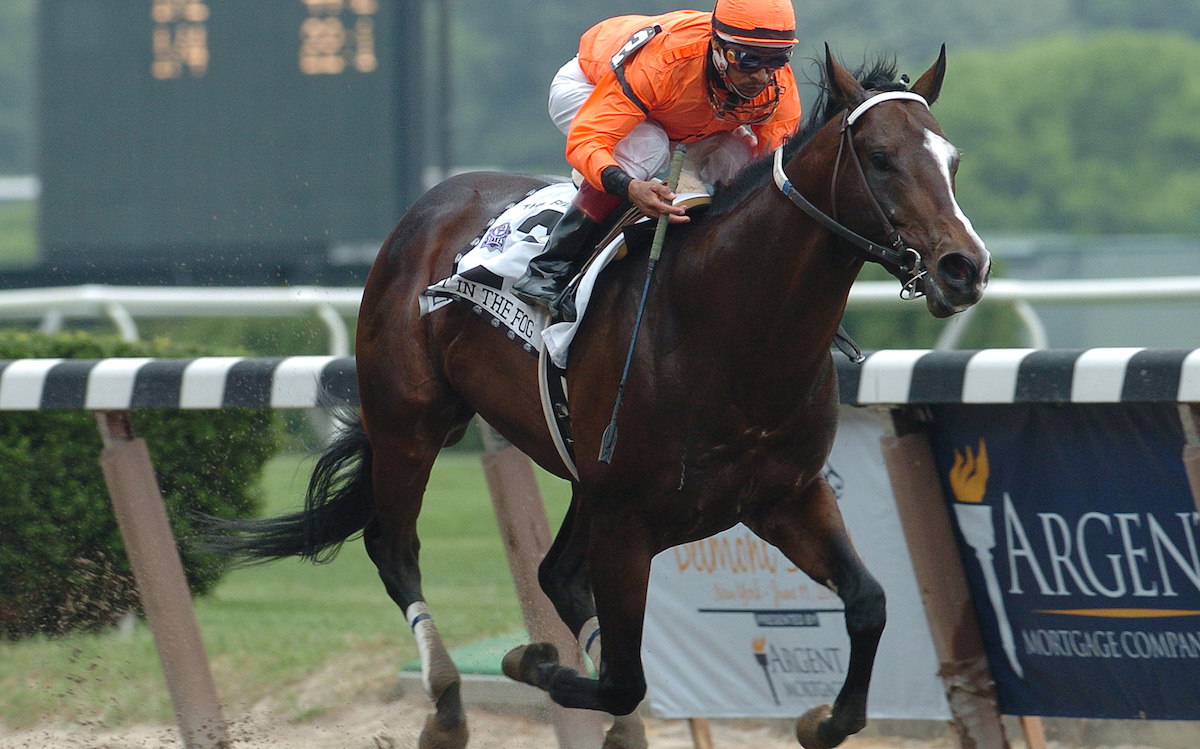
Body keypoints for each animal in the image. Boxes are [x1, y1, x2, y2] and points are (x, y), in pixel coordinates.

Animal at [208, 45, 984, 749]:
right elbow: (623, 678)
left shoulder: (784, 496)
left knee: (553, 573)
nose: (965, 267)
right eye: (880, 157)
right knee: (395, 548)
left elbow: (869, 603)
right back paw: (449, 705)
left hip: (577, 474)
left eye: (952, 160)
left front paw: (822, 718)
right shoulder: (628, 518)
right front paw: (530, 658)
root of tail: (430, 203)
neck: (728, 328)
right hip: (411, 423)